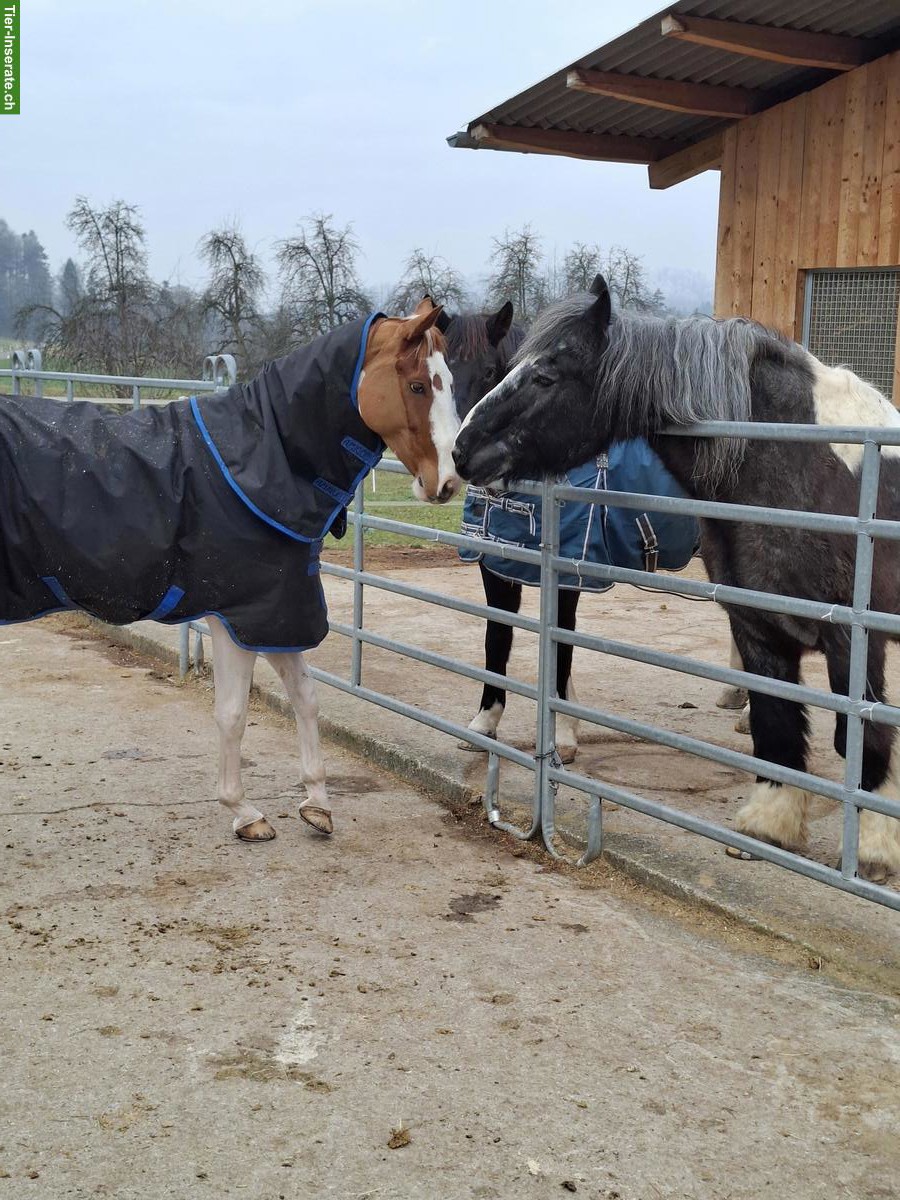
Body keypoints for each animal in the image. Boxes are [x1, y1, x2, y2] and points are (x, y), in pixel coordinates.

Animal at [0, 300, 460, 843]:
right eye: (418, 386)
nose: (448, 483)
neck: (263, 459)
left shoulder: (275, 613)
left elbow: (306, 698)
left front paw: (317, 803)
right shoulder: (237, 615)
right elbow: (233, 714)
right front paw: (244, 812)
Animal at [442, 303, 707, 763]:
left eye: (491, 369)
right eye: (444, 367)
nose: (457, 453)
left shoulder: (568, 573)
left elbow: (560, 646)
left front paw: (562, 737)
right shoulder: (499, 565)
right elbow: (498, 636)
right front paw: (483, 723)